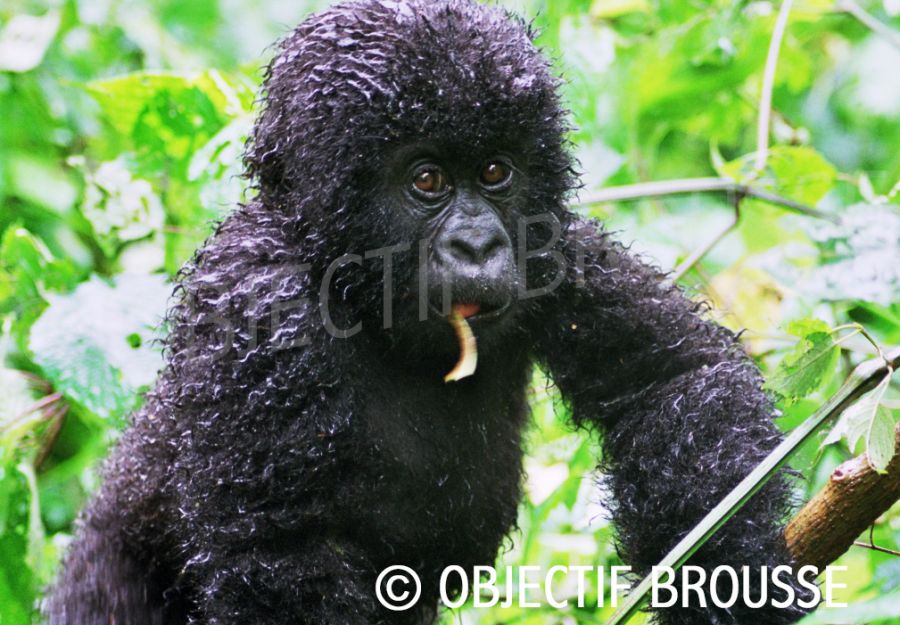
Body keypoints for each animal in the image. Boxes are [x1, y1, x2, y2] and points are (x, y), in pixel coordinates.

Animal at [47, 1, 808, 624]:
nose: (478, 244)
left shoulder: (556, 248)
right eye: (427, 180)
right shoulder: (254, 298)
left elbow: (673, 379)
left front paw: (727, 574)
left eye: (496, 171)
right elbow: (281, 553)